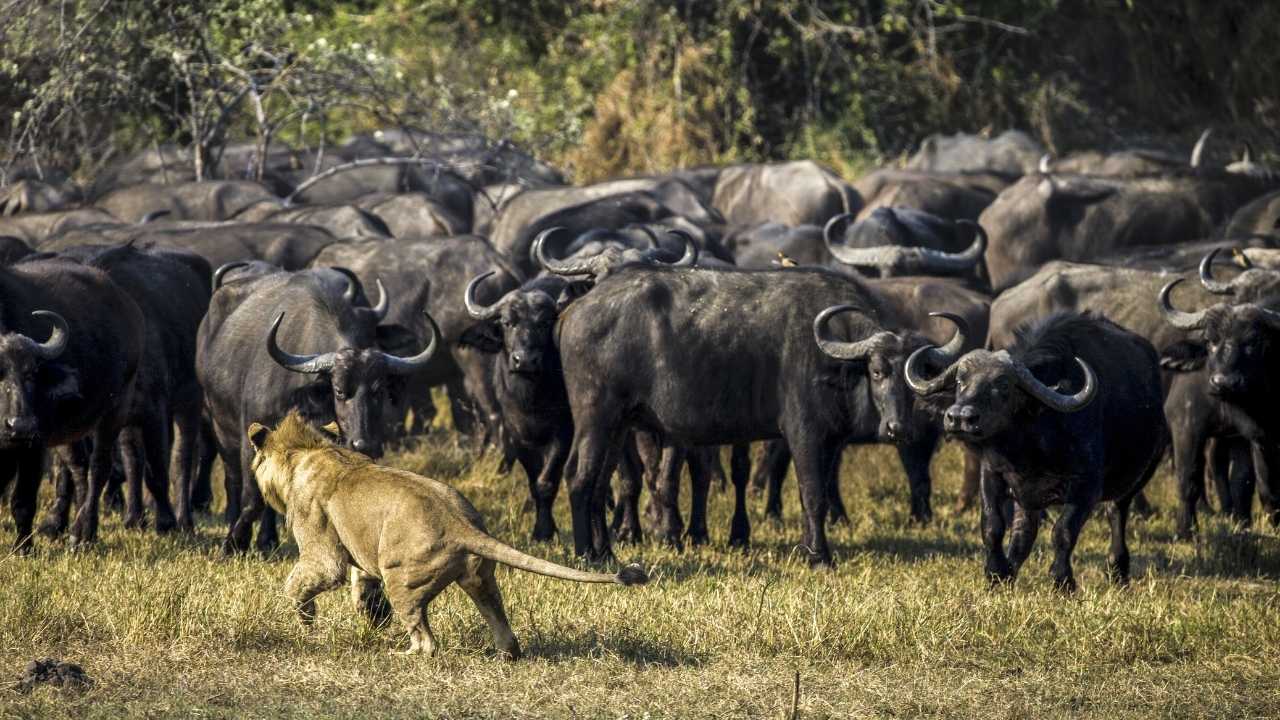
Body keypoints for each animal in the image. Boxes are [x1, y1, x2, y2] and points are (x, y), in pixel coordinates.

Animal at [247, 412, 648, 659]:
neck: (310, 451)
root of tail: (460, 524)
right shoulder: (360, 549)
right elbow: (361, 584)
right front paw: (367, 615)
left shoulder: (322, 548)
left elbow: (301, 583)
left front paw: (306, 624)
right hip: (480, 579)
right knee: (504, 631)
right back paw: (504, 654)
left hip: (402, 580)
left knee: (426, 643)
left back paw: (401, 653)